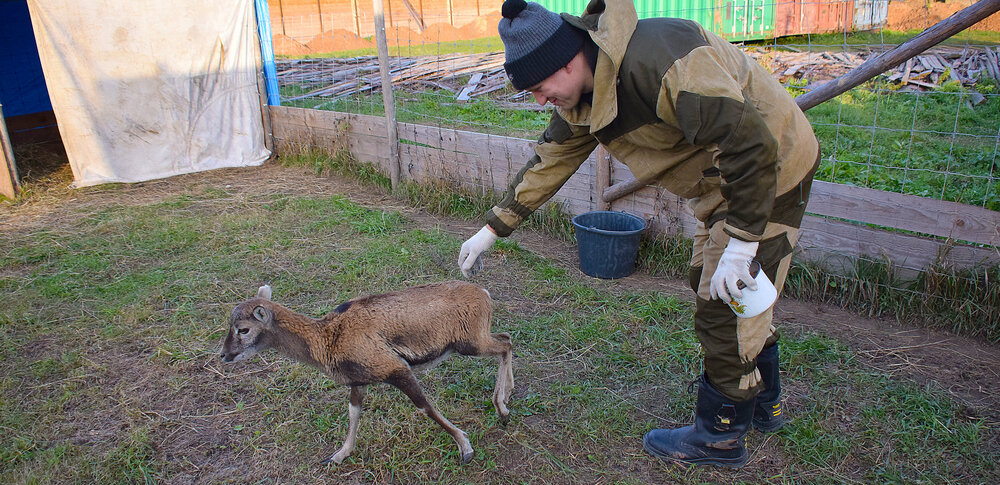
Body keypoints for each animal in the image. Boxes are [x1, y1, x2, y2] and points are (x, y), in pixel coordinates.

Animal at [220, 282, 516, 464]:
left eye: (243, 329)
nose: (224, 355)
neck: (328, 339)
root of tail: (484, 294)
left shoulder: (395, 368)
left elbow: (425, 407)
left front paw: (465, 448)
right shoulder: (358, 382)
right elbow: (353, 413)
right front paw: (338, 456)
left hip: (469, 343)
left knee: (505, 344)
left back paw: (501, 409)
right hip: (474, 339)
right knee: (507, 337)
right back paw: (507, 397)